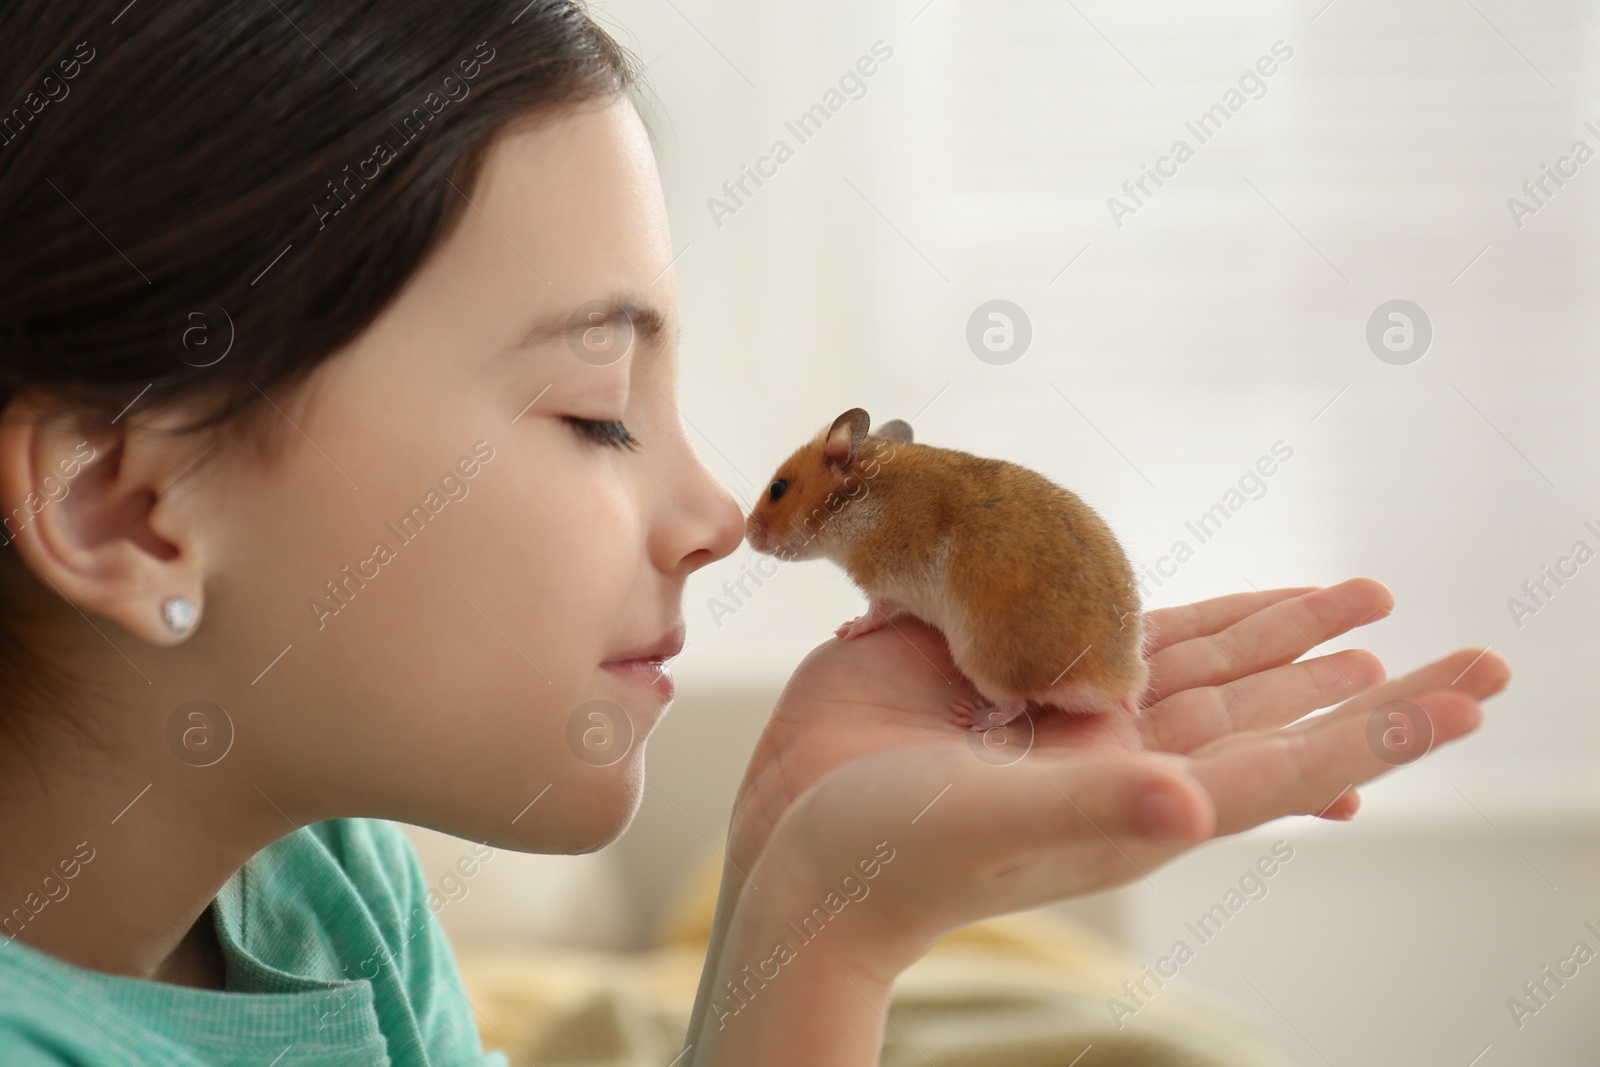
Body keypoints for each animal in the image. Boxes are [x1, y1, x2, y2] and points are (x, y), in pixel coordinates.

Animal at [742, 404, 1145, 729]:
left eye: (778, 489)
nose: (747, 534)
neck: (858, 500)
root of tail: (1120, 682)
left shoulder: (884, 586)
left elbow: (874, 614)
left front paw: (847, 629)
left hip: (981, 659)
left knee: (1015, 705)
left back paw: (973, 716)